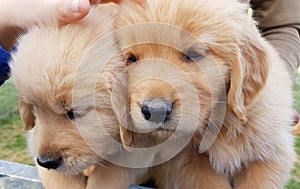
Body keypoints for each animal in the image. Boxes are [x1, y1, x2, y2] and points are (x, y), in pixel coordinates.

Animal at [115, 0, 296, 188]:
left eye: (194, 54)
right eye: (131, 59)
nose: (156, 110)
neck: (221, 122)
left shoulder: (270, 155)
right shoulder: (191, 164)